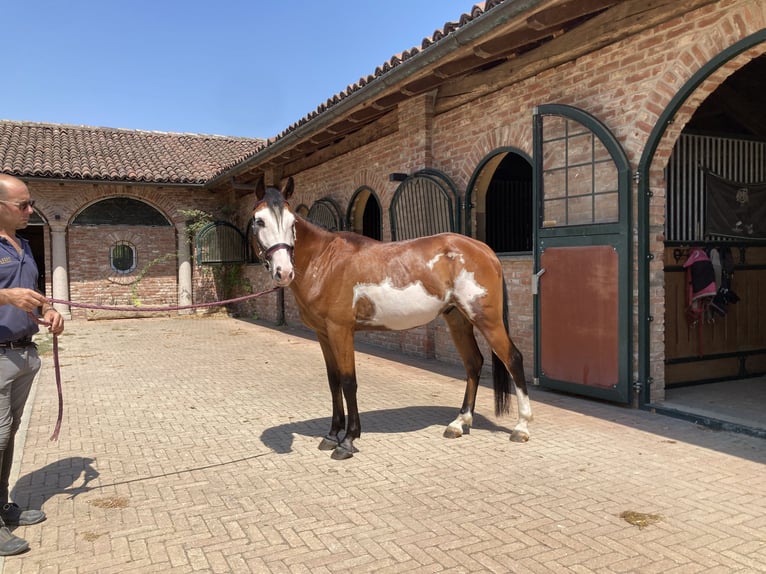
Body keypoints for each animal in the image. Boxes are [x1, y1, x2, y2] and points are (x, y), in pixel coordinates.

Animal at [252, 176, 532, 460]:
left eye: (291, 223)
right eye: (259, 221)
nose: (283, 272)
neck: (325, 262)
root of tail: (484, 249)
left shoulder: (341, 330)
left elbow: (348, 381)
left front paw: (347, 441)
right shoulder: (323, 333)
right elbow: (333, 382)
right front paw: (331, 436)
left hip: (486, 318)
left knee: (513, 358)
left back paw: (521, 427)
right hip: (457, 319)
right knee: (473, 363)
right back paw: (458, 423)